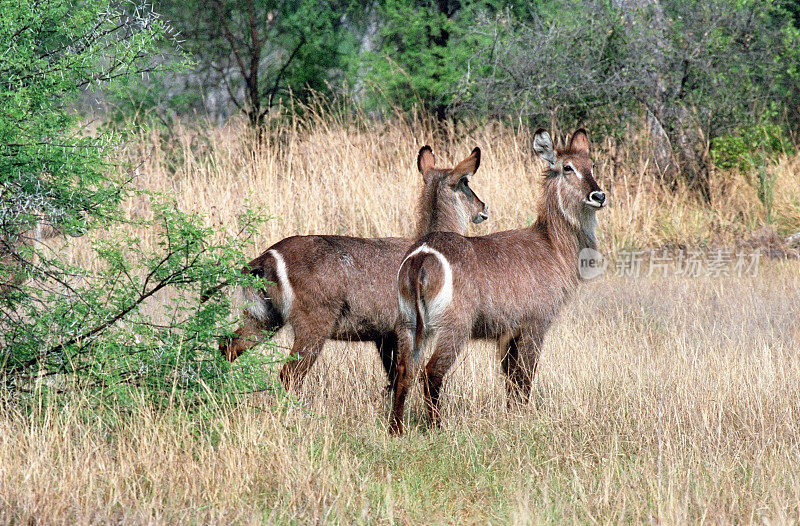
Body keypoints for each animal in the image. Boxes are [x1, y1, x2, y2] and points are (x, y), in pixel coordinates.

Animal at [219, 144, 488, 392]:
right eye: (465, 182)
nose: (484, 208)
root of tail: (266, 257)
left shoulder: (384, 336)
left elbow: (392, 380)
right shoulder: (402, 332)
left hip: (264, 319)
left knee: (227, 346)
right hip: (312, 326)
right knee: (289, 374)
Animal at [392, 130, 608, 436]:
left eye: (592, 165)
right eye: (567, 168)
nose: (599, 195)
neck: (553, 245)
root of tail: (422, 254)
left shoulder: (507, 333)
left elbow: (509, 378)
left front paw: (511, 415)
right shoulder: (535, 323)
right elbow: (525, 376)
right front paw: (525, 419)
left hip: (409, 324)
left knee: (403, 371)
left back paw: (395, 430)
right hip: (453, 328)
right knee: (431, 371)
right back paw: (436, 426)